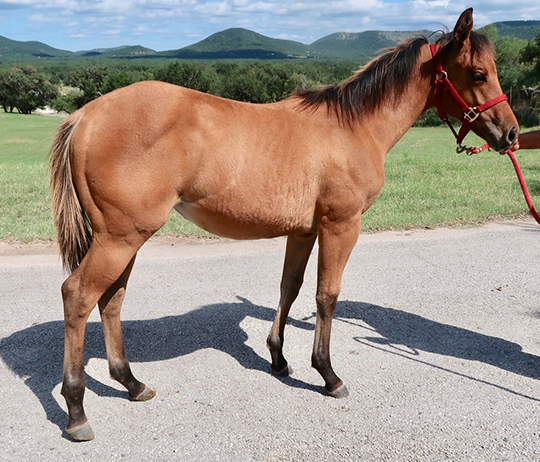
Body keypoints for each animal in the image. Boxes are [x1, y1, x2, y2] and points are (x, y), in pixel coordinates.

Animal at [49, 8, 520, 440]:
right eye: (478, 73)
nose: (512, 134)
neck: (353, 127)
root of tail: (85, 116)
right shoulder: (340, 226)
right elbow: (326, 296)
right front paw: (328, 375)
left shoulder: (304, 230)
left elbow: (289, 289)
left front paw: (277, 359)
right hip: (120, 238)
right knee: (78, 296)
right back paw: (76, 411)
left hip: (124, 239)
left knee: (111, 300)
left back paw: (132, 383)